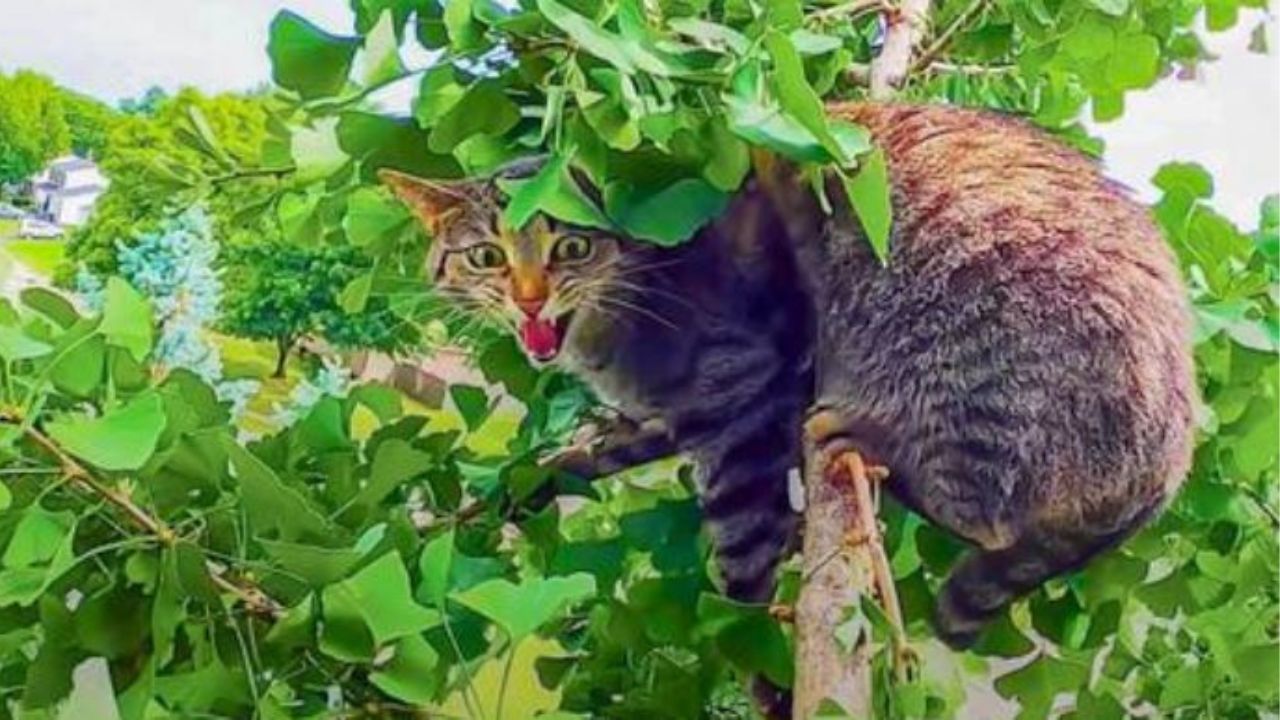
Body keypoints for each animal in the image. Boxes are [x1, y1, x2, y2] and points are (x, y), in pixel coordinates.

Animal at [384, 99, 1192, 707]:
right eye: (485, 256)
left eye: (571, 248)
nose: (529, 298)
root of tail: (1173, 457)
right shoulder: (677, 415)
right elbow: (592, 453)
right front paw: (526, 483)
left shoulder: (750, 394)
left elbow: (740, 571)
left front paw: (764, 676)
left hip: (960, 364)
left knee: (982, 516)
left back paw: (866, 441)